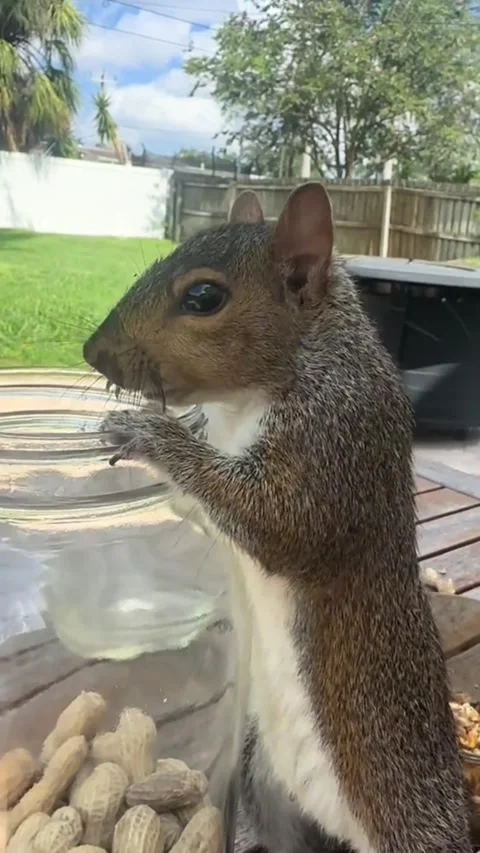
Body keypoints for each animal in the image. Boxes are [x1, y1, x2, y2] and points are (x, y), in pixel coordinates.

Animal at [83, 182, 471, 853]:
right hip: (260, 779)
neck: (244, 401)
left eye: (204, 297)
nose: (90, 353)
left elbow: (280, 525)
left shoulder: (335, 441)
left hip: (408, 817)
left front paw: (146, 434)